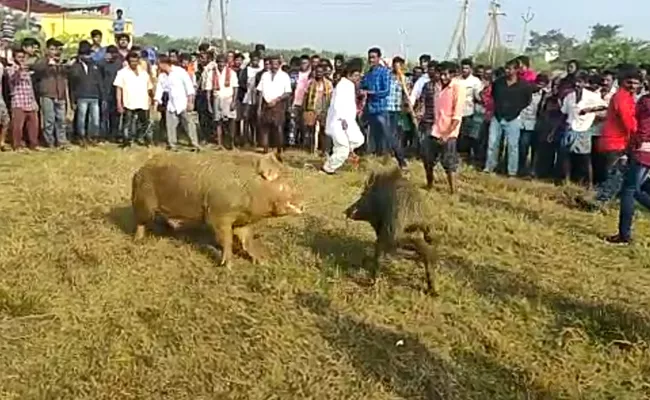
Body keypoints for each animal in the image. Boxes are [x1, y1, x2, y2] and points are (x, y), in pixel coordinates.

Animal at [133, 155, 306, 268]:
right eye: (286, 183)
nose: (304, 204)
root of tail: (140, 169)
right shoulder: (218, 216)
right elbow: (226, 240)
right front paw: (229, 266)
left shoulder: (242, 220)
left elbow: (247, 241)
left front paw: (263, 262)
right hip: (144, 204)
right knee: (141, 222)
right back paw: (138, 240)